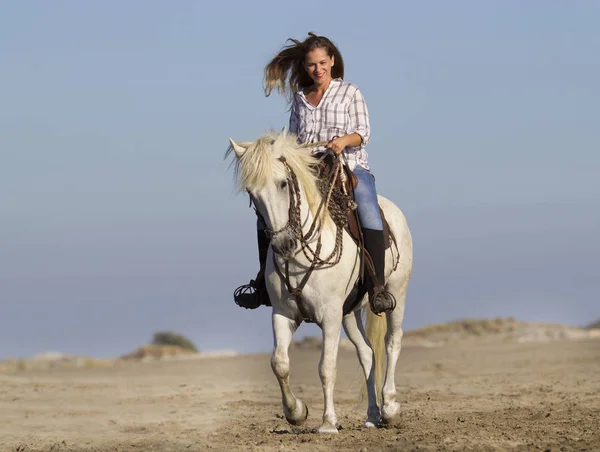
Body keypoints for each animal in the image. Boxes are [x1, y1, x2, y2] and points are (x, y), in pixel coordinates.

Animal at [226, 129, 412, 432]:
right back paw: (372, 416)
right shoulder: (283, 314)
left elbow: (326, 367)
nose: (284, 244)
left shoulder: (330, 316)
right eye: (252, 193)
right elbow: (279, 363)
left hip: (396, 294)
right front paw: (296, 412)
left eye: (283, 183)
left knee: (392, 342)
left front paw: (327, 423)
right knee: (367, 353)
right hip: (350, 313)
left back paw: (390, 407)